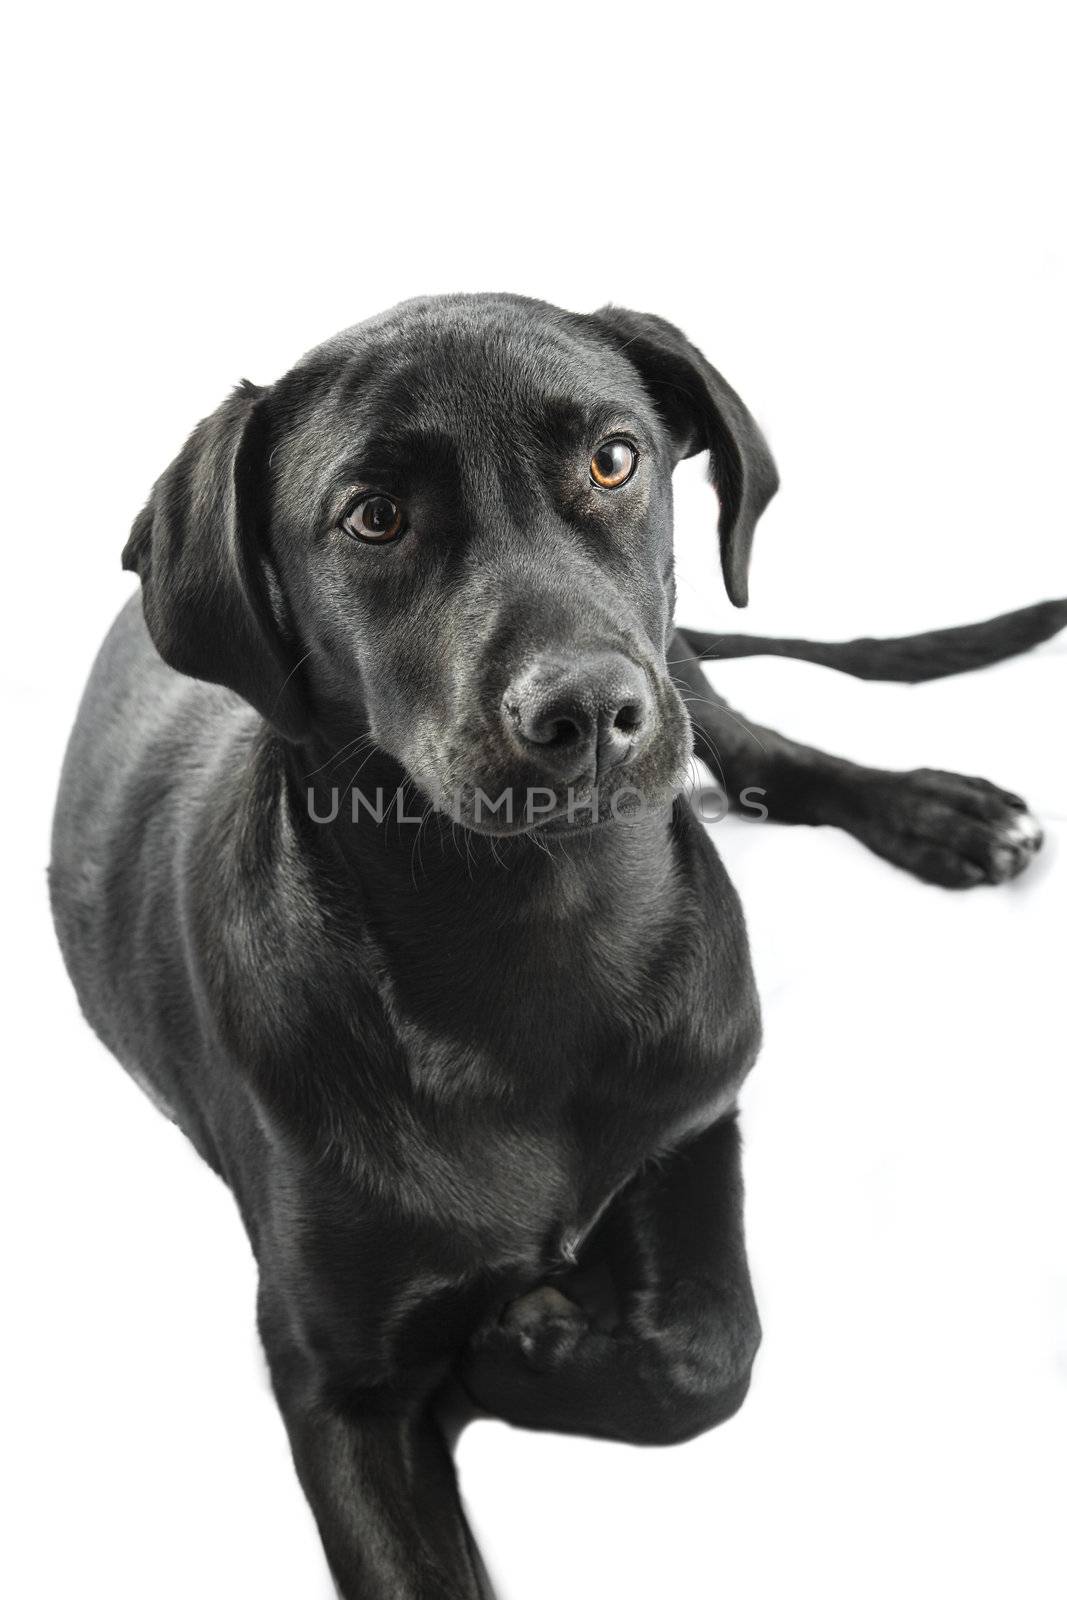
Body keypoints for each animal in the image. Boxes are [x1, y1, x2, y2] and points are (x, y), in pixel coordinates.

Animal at [51, 297, 1067, 1587]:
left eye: (613, 458)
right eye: (372, 515)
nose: (583, 711)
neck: (539, 923)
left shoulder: (695, 1113)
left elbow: (710, 1351)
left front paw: (522, 1343)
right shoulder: (333, 1384)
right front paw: (517, 1335)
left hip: (679, 660)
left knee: (755, 746)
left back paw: (940, 813)